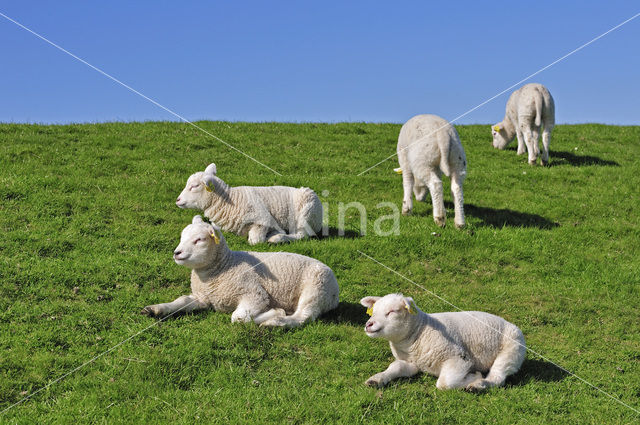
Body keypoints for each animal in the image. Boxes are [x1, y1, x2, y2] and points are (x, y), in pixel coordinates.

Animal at [141, 215, 340, 328]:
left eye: (199, 240)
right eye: (182, 237)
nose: (177, 253)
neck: (225, 266)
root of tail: (336, 292)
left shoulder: (254, 294)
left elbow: (237, 317)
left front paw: (274, 313)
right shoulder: (203, 297)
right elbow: (181, 301)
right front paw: (155, 309)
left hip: (316, 289)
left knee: (303, 317)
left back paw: (275, 322)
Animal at [175, 162, 322, 243]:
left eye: (194, 186)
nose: (178, 200)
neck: (230, 200)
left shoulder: (263, 219)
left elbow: (255, 241)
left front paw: (268, 236)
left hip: (306, 213)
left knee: (302, 235)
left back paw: (276, 238)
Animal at [360, 292, 524, 390]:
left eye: (392, 311)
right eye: (373, 312)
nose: (369, 324)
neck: (420, 331)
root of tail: (511, 324)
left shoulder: (458, 357)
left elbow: (445, 383)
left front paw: (474, 376)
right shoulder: (411, 363)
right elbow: (396, 367)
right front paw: (377, 379)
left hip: (511, 351)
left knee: (498, 377)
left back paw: (479, 384)